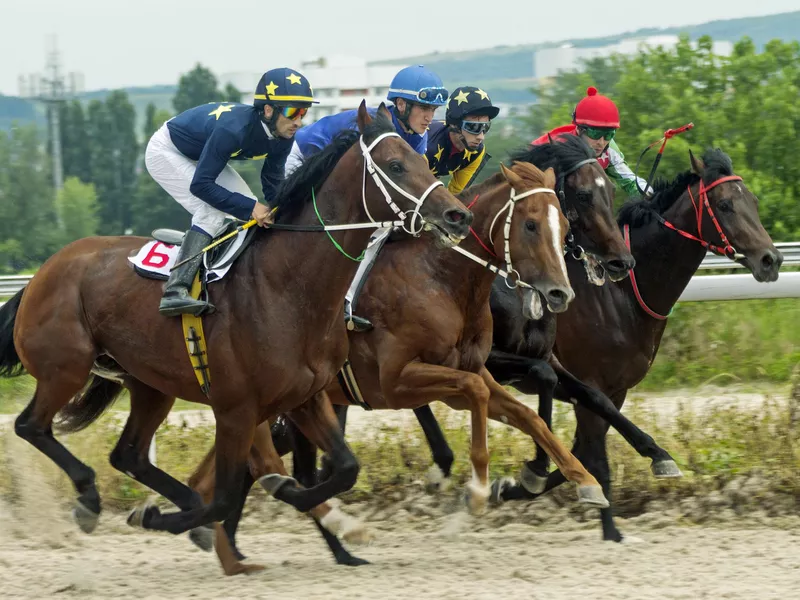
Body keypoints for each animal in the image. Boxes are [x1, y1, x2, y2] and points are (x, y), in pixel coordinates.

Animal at [0, 103, 476, 544]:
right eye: (395, 165)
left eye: (424, 161)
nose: (458, 216)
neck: (286, 286)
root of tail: (42, 273)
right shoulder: (235, 409)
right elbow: (228, 497)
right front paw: (166, 518)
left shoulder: (305, 396)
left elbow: (344, 468)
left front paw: (313, 504)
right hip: (66, 366)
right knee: (30, 426)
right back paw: (90, 498)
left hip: (150, 384)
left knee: (129, 455)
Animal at [192, 159, 612, 572]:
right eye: (530, 224)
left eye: (565, 225)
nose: (560, 293)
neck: (440, 279)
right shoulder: (398, 382)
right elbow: (478, 395)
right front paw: (476, 490)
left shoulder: (469, 372)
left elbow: (530, 417)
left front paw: (582, 481)